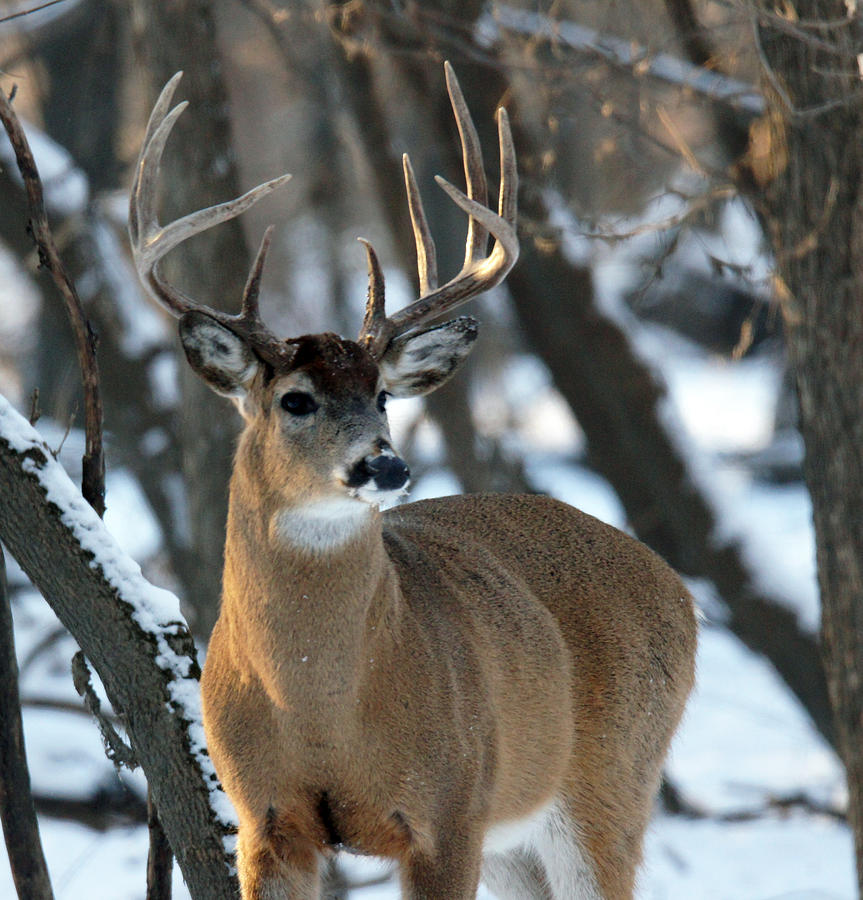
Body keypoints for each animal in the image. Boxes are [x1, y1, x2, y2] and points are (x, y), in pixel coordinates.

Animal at [132, 65, 704, 900]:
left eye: (381, 396)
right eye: (294, 399)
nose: (386, 464)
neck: (322, 708)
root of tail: (679, 590)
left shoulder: (450, 807)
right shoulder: (265, 816)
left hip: (610, 783)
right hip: (516, 841)